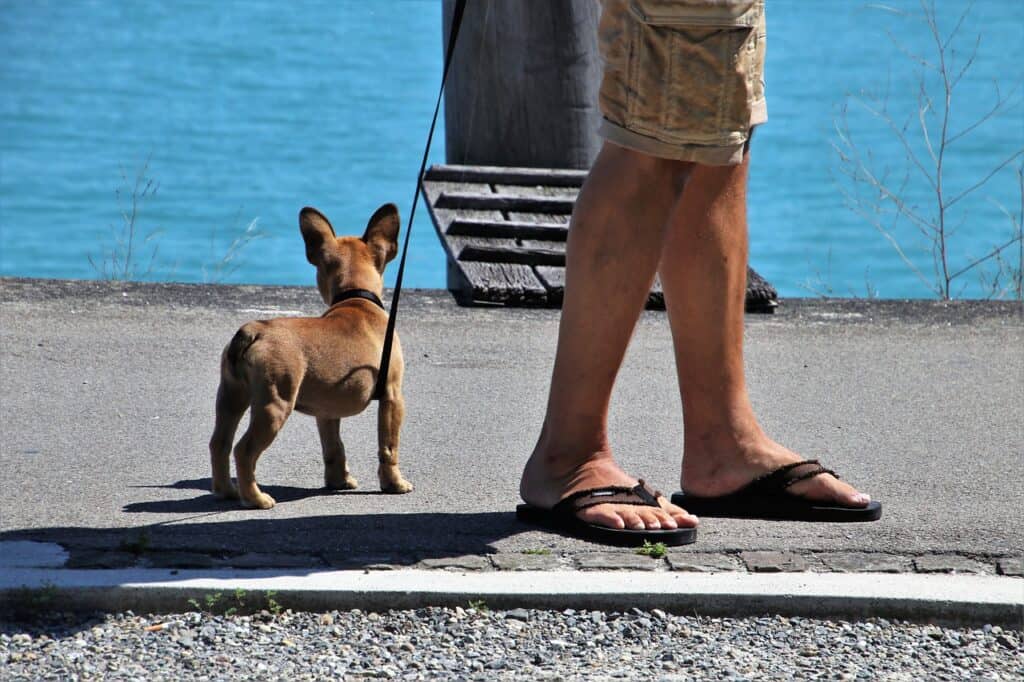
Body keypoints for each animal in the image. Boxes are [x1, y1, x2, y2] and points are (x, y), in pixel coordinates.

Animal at [208, 204, 411, 507]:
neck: (356, 298)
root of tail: (254, 330)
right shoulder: (392, 396)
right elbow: (388, 446)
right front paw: (394, 484)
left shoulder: (327, 410)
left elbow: (333, 446)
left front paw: (339, 481)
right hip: (274, 405)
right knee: (244, 450)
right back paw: (256, 498)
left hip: (231, 395)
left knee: (220, 442)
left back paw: (227, 491)